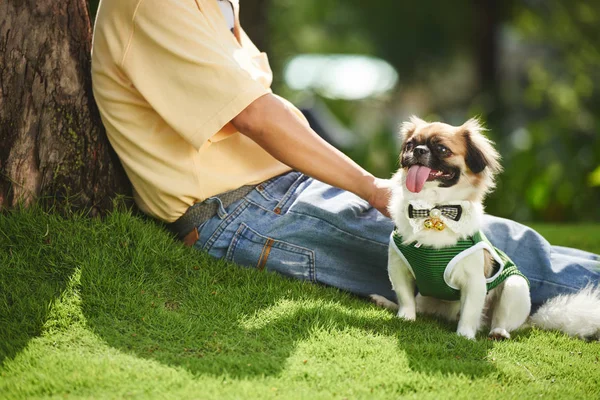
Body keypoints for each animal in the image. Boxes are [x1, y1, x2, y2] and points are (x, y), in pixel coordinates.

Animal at [370, 115, 600, 340]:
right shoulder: (398, 268)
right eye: (409, 145)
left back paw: (498, 332)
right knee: (418, 305)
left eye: (442, 149)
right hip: (427, 298)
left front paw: (464, 336)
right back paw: (386, 303)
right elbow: (405, 298)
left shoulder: (474, 281)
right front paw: (405, 318)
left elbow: (470, 312)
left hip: (515, 286)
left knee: (499, 319)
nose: (418, 150)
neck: (434, 210)